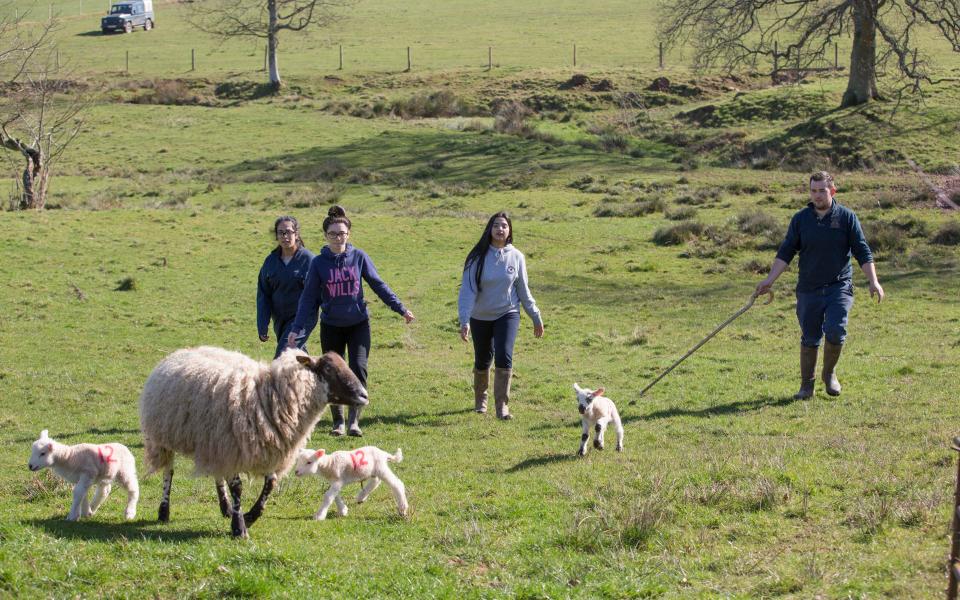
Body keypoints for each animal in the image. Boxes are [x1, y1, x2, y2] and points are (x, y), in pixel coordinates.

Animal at [139, 346, 368, 540]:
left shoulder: (267, 449)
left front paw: (249, 516)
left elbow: (271, 483)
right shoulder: (232, 447)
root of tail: (181, 351)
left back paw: (225, 507)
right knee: (169, 472)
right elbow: (238, 487)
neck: (267, 396)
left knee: (217, 474)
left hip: (213, 443)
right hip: (165, 437)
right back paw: (164, 511)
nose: (364, 395)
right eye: (328, 368)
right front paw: (239, 527)